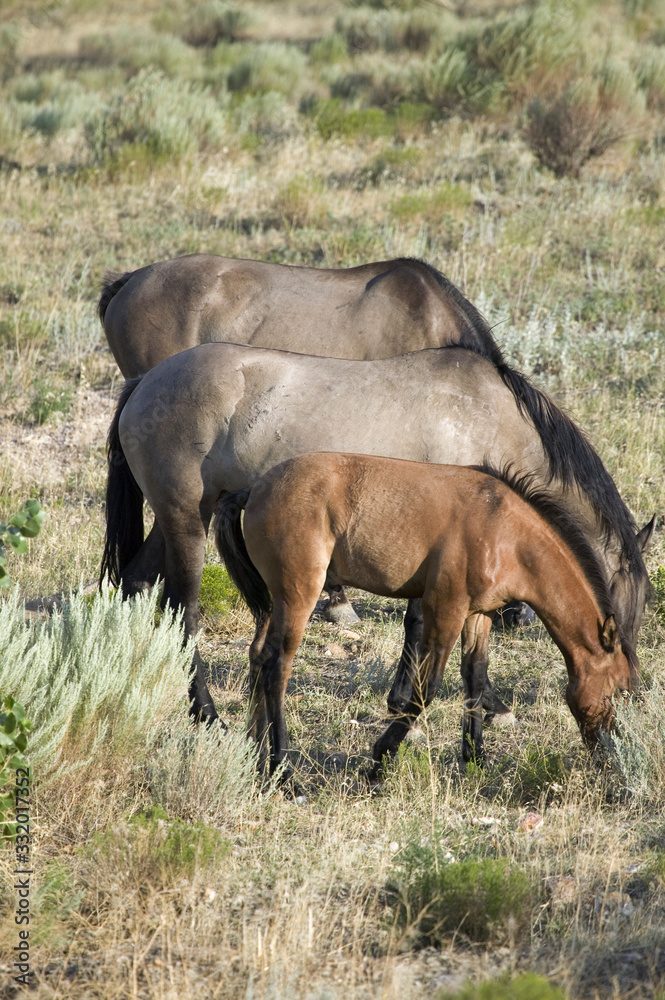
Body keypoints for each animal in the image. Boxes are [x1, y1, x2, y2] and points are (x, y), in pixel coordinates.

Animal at [214, 452, 640, 772]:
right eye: (621, 690)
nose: (612, 754)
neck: (506, 532)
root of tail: (254, 489)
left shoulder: (478, 615)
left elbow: (474, 677)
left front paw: (475, 757)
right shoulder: (445, 608)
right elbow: (427, 687)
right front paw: (380, 759)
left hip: (276, 604)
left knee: (258, 657)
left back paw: (255, 754)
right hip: (298, 597)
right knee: (277, 667)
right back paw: (283, 769)